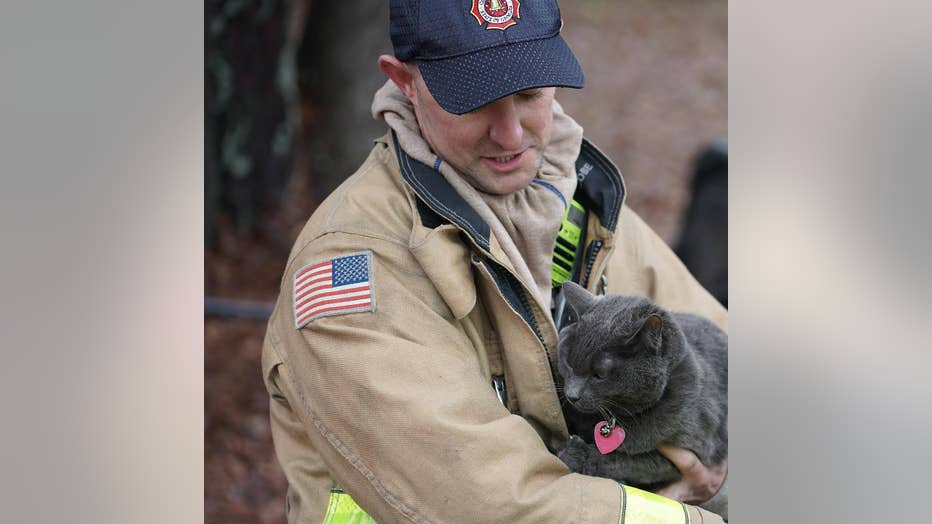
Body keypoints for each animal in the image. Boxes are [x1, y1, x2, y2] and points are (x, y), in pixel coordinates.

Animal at [552, 280, 728, 516]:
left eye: (600, 375)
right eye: (569, 363)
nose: (572, 395)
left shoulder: (689, 452)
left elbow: (628, 460)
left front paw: (577, 454)